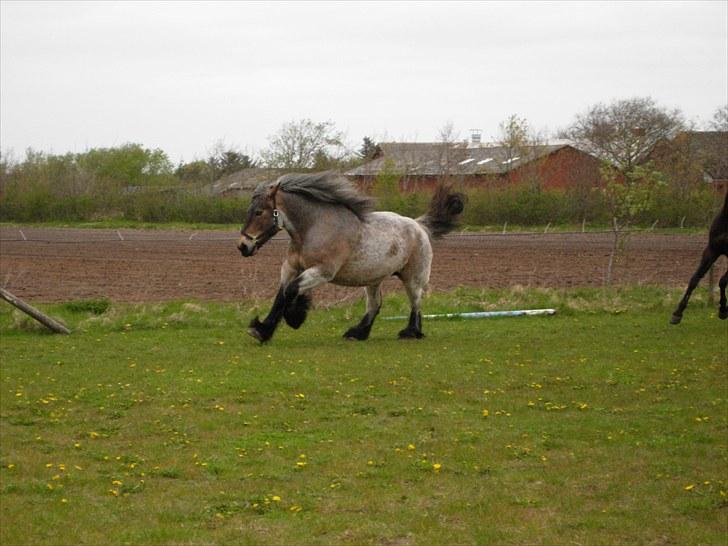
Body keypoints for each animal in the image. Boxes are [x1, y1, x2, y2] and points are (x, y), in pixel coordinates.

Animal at [239, 171, 466, 340]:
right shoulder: (291, 268)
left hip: (413, 277)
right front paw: (261, 330)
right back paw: (358, 333)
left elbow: (291, 291)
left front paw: (295, 317)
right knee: (375, 305)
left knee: (416, 301)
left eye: (259, 212)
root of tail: (419, 225)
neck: (314, 228)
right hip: (374, 279)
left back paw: (411, 332)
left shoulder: (322, 272)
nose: (243, 246)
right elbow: (282, 295)